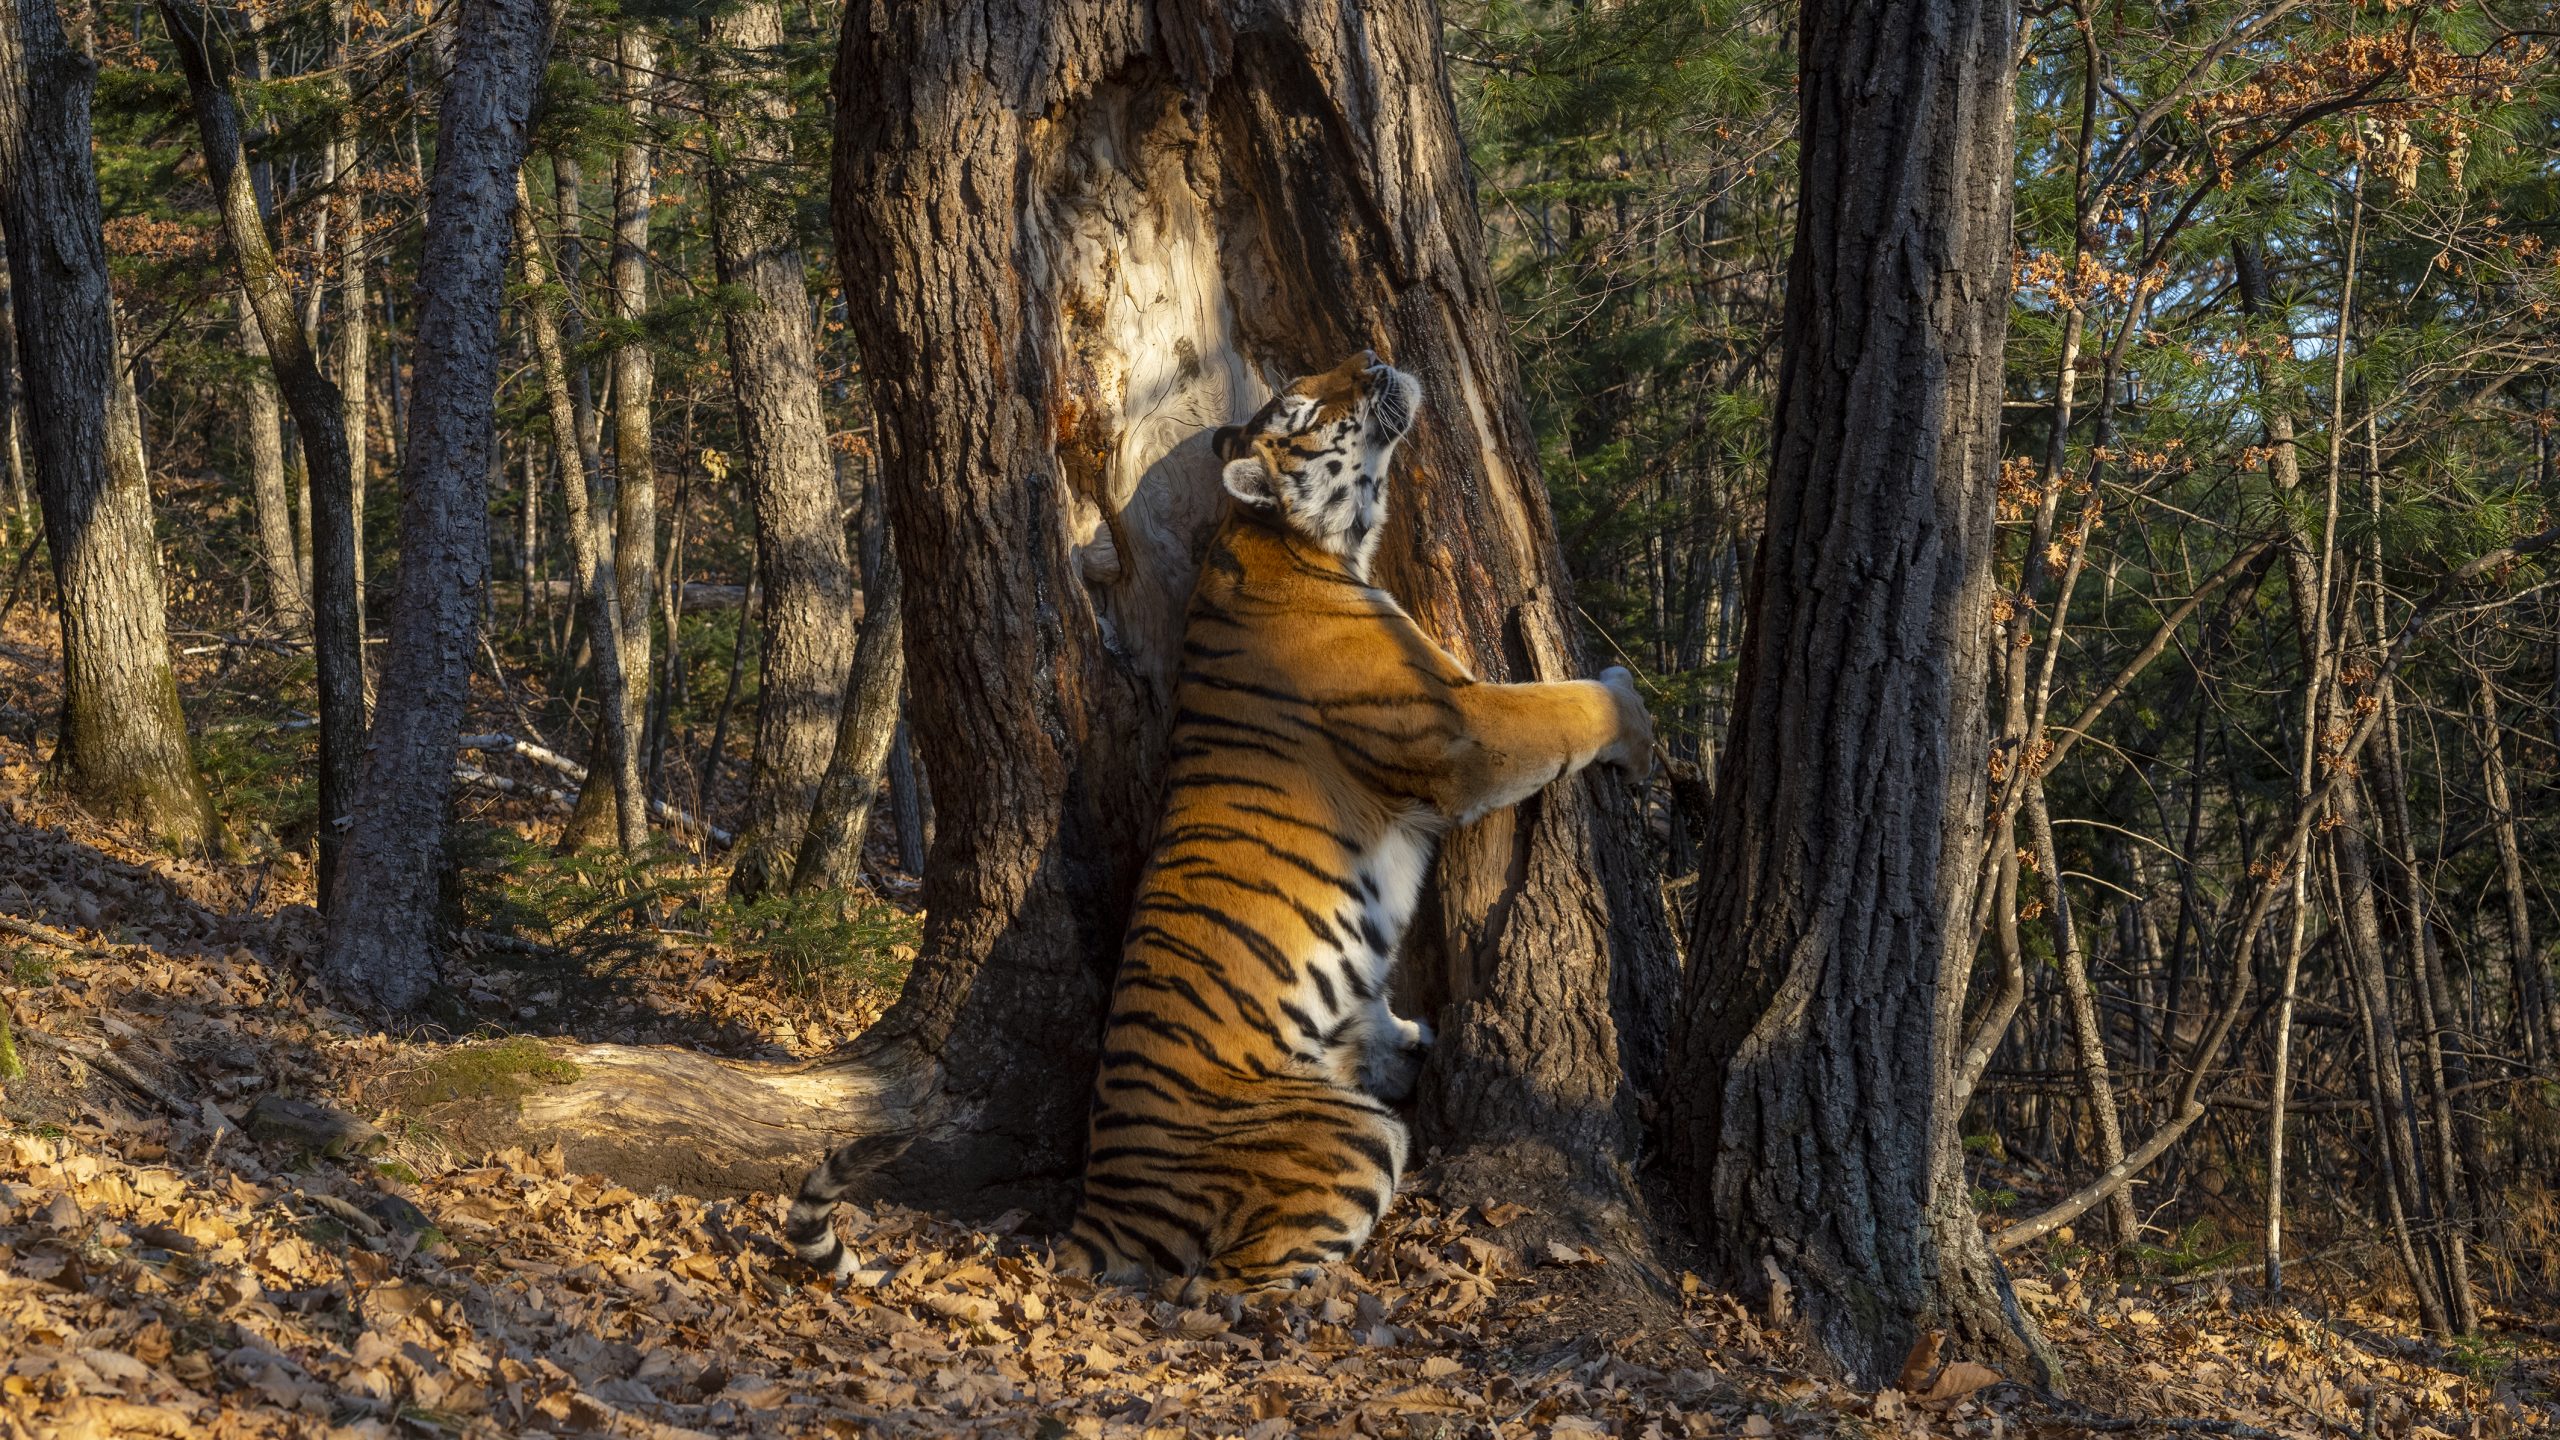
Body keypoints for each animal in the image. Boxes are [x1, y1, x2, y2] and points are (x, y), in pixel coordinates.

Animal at [783, 348, 1658, 1291]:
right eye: (1308, 408)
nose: (1373, 357)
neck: (1290, 540)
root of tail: (1096, 1213)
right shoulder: (1458, 727)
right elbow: (1562, 708)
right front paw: (1634, 714)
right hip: (1351, 1136)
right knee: (1234, 1285)